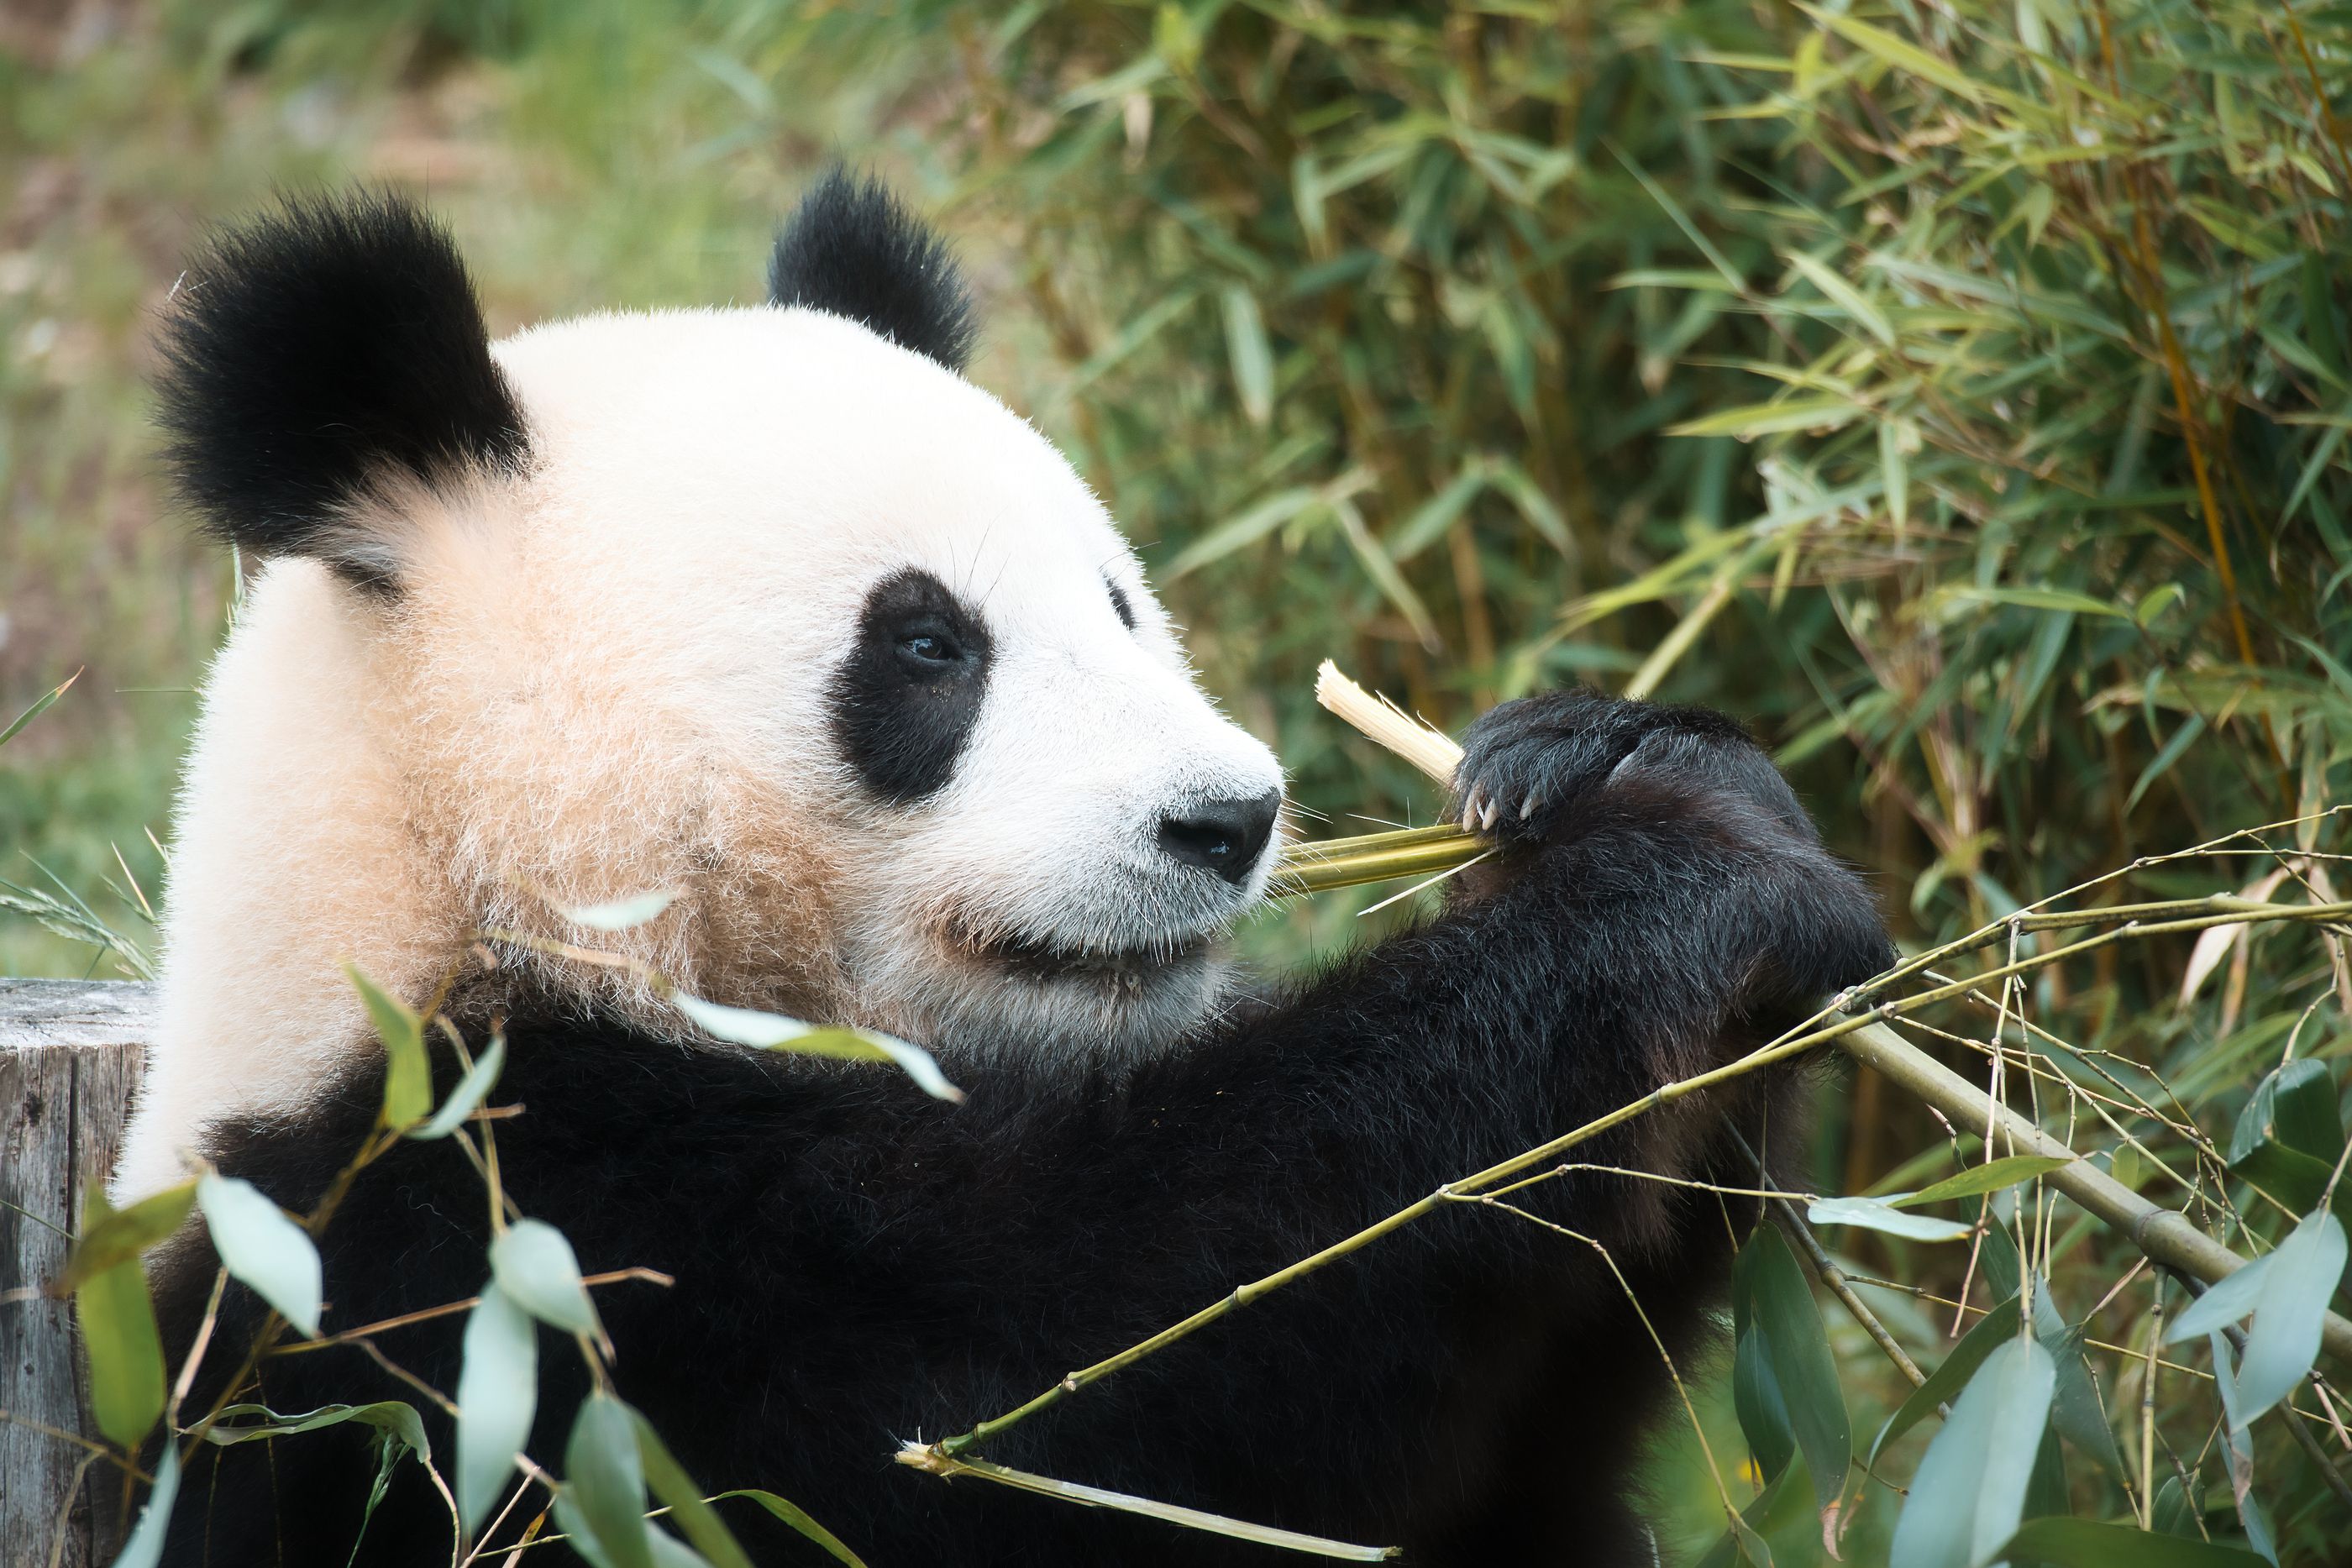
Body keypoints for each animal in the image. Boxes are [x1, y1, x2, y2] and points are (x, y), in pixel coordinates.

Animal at [129, 175, 1882, 1568]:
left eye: (1118, 602)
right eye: (925, 646)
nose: (1227, 819)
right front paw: (1678, 884)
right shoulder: (502, 1248)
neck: (456, 895)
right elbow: (1085, 1370)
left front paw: (1601, 763)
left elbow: (1520, 1439)